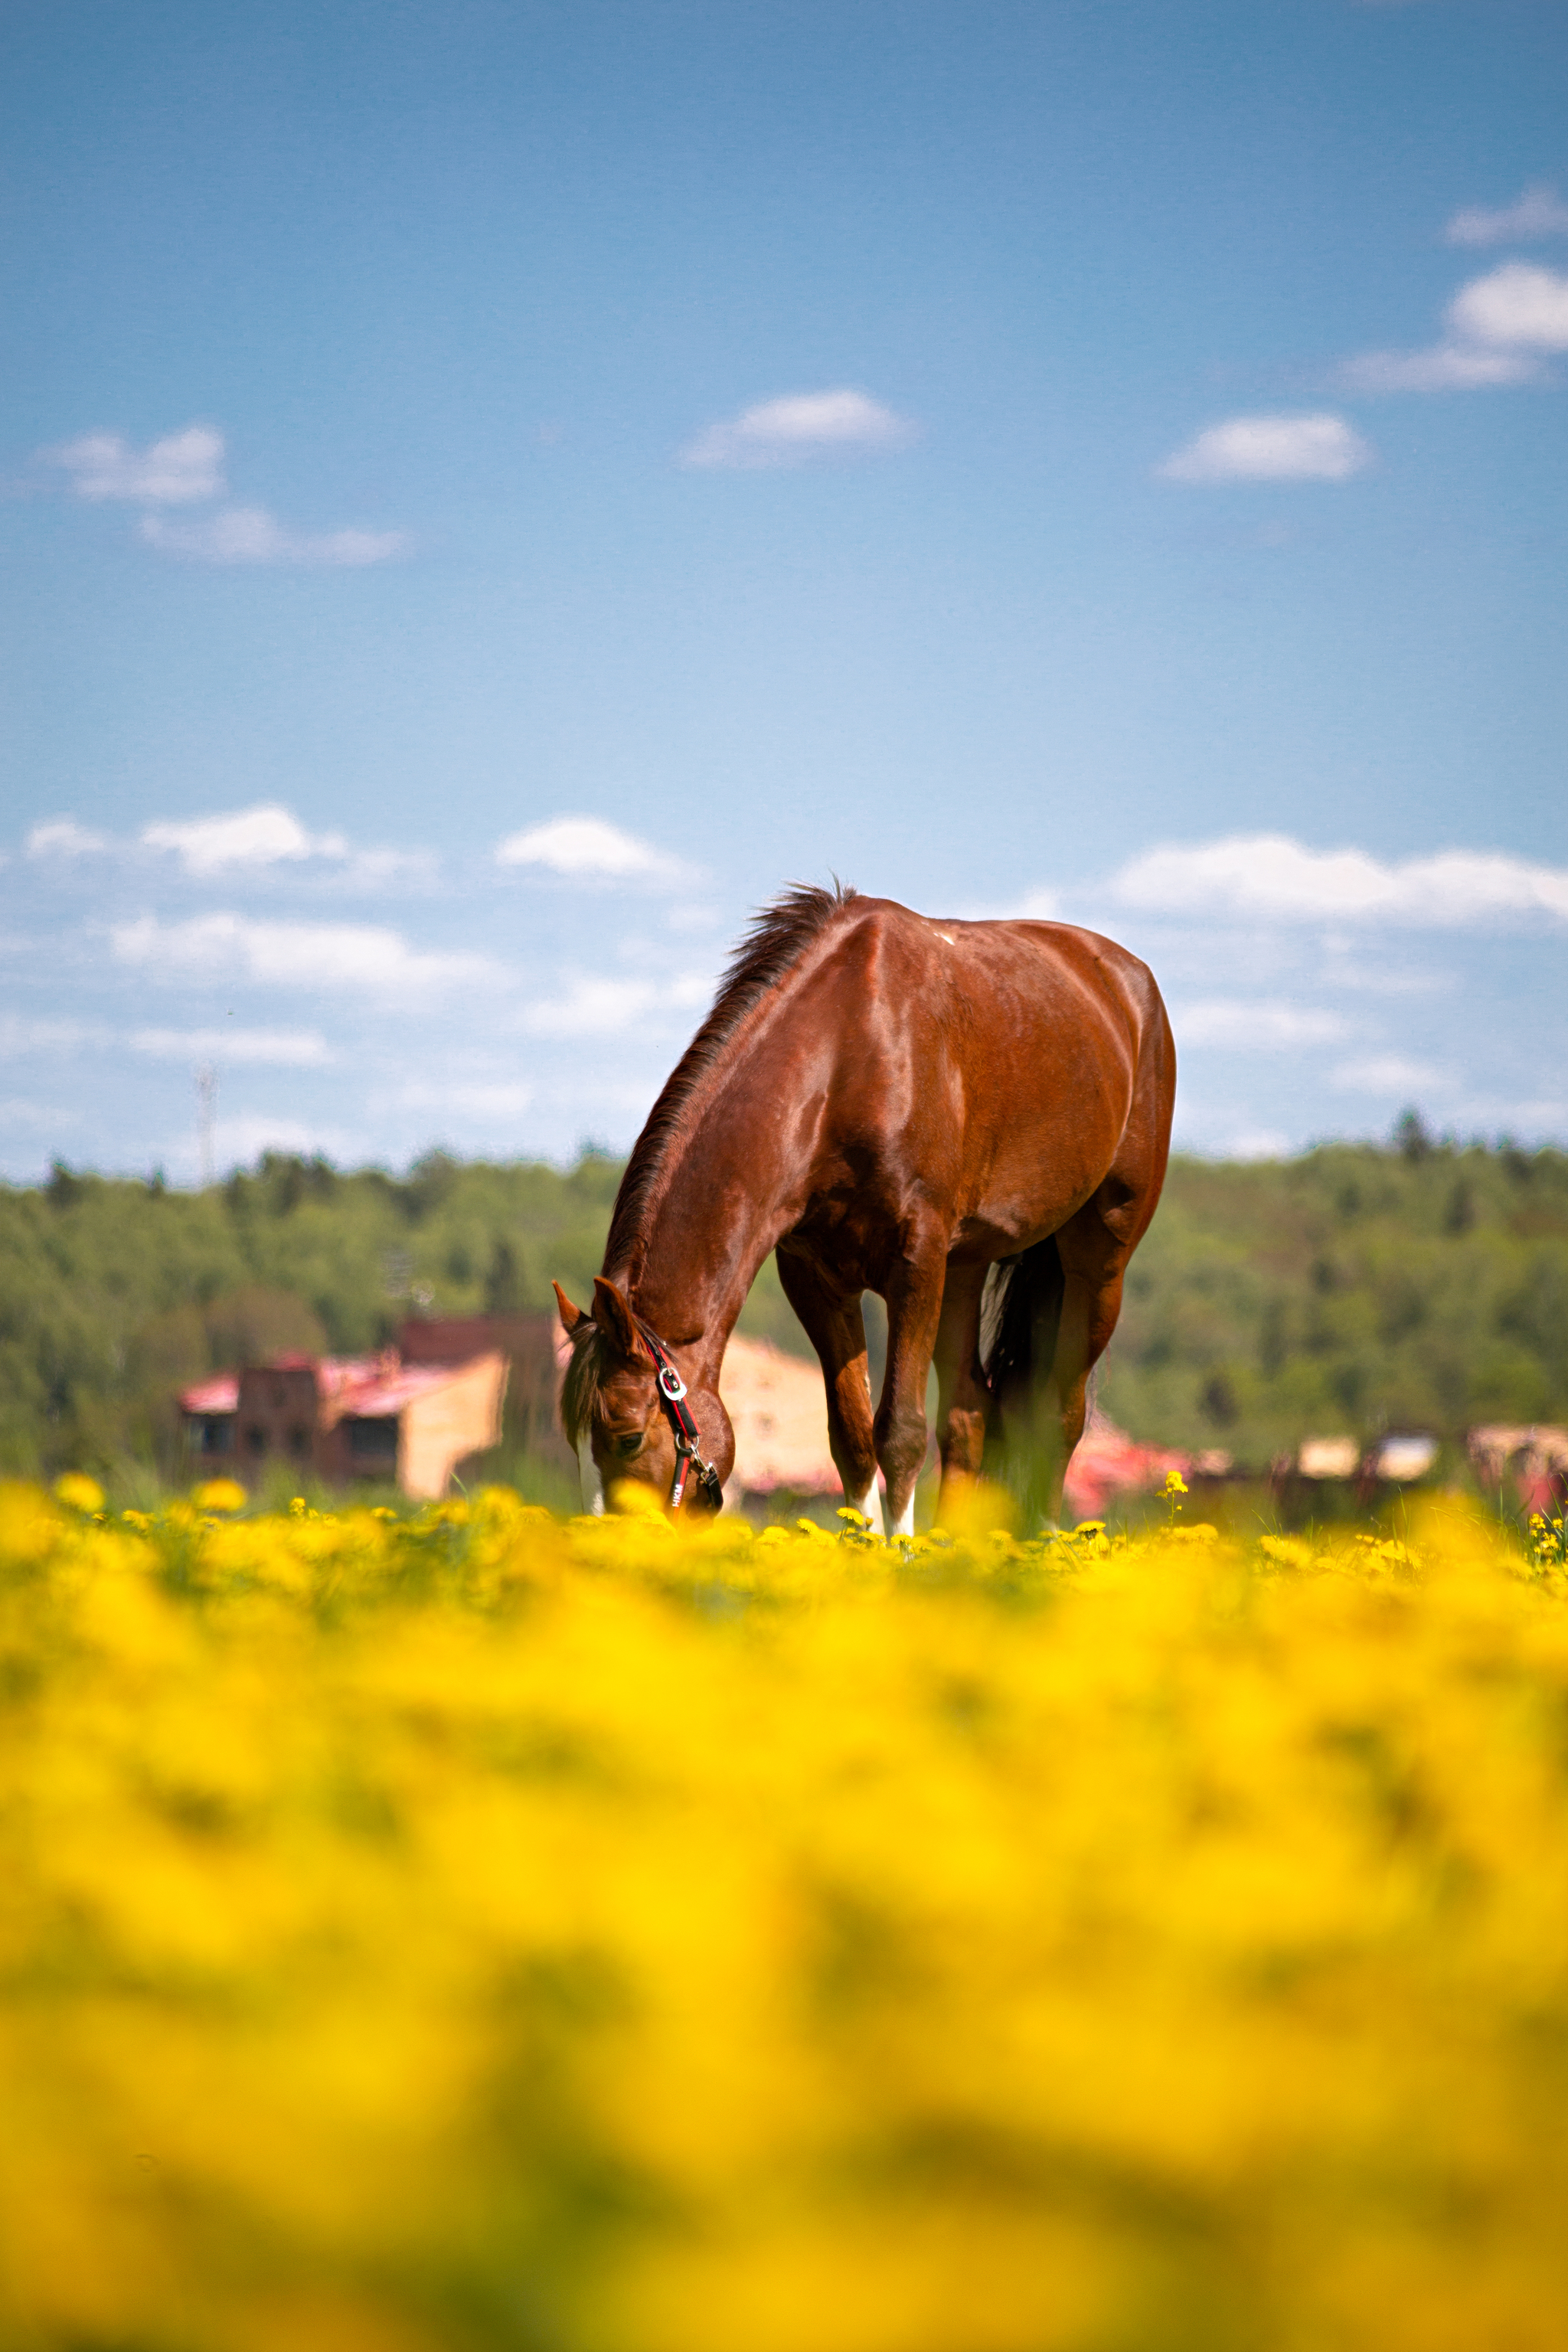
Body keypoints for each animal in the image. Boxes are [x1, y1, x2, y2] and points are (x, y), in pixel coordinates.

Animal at [554, 889, 1175, 1533]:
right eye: (572, 1441)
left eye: (626, 1437)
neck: (846, 1059)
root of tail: (1129, 982)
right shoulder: (817, 1278)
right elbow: (851, 1439)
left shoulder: (915, 1263)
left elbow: (899, 1433)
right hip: (964, 1269)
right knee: (970, 1413)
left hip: (1097, 1262)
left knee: (1061, 1415)